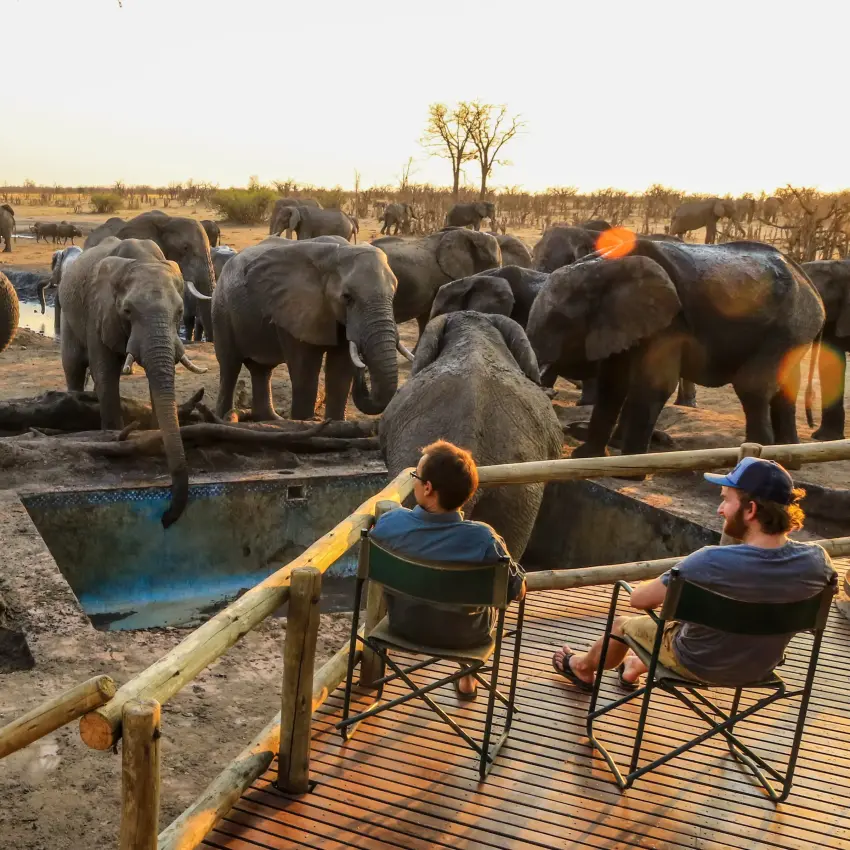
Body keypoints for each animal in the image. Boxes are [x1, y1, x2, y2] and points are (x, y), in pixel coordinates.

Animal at [58, 236, 208, 527]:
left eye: (180, 311)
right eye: (127, 311)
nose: (166, 518)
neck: (142, 260)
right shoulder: (98, 310)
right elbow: (105, 373)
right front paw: (113, 435)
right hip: (70, 315)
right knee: (73, 366)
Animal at [212, 239, 407, 421]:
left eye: (394, 294)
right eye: (347, 297)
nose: (362, 365)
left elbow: (340, 374)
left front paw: (334, 423)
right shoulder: (295, 307)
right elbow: (305, 374)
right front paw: (303, 423)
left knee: (262, 369)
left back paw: (270, 420)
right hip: (221, 309)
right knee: (229, 367)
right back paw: (223, 419)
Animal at [527, 240, 825, 457]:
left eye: (560, 321)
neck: (603, 264)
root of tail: (806, 278)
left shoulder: (670, 323)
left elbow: (654, 384)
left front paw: (629, 465)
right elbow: (613, 383)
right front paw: (586, 457)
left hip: (790, 325)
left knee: (753, 385)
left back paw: (757, 454)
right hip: (795, 329)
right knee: (785, 387)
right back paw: (788, 454)